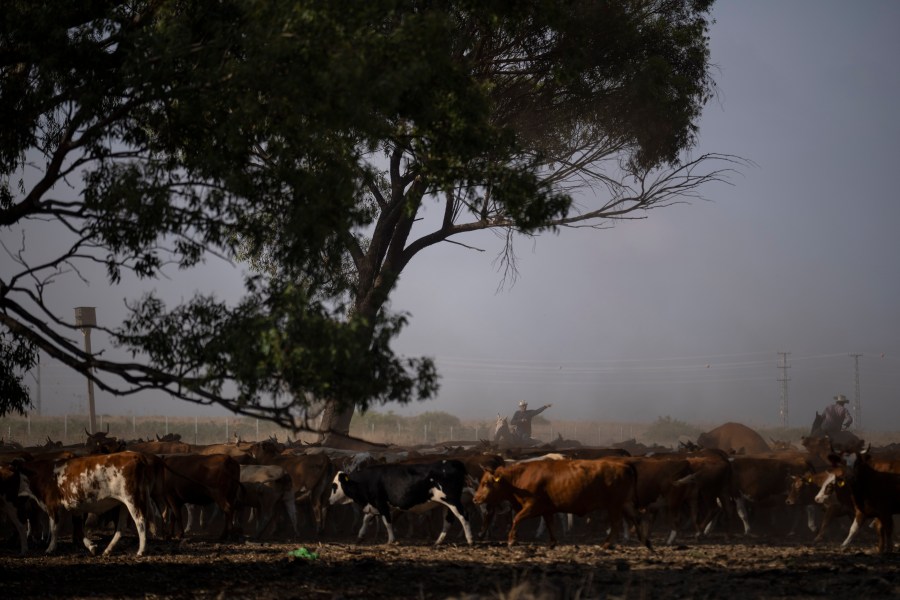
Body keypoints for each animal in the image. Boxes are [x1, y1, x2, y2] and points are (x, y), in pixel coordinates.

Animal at [326, 458, 474, 548]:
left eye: (334, 486)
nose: (329, 500)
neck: (366, 481)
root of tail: (452, 462)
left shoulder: (381, 503)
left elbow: (387, 522)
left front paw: (391, 540)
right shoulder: (374, 505)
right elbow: (366, 519)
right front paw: (360, 536)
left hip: (452, 501)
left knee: (464, 516)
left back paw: (470, 539)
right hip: (445, 504)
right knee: (448, 521)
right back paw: (438, 541)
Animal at [472, 458, 652, 552]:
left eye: (486, 483)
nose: (475, 499)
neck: (519, 479)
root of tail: (622, 464)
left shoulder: (532, 505)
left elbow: (516, 519)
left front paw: (512, 540)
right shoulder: (547, 509)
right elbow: (550, 524)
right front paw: (552, 542)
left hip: (615, 505)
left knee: (616, 524)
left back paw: (607, 543)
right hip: (625, 503)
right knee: (637, 518)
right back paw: (646, 542)